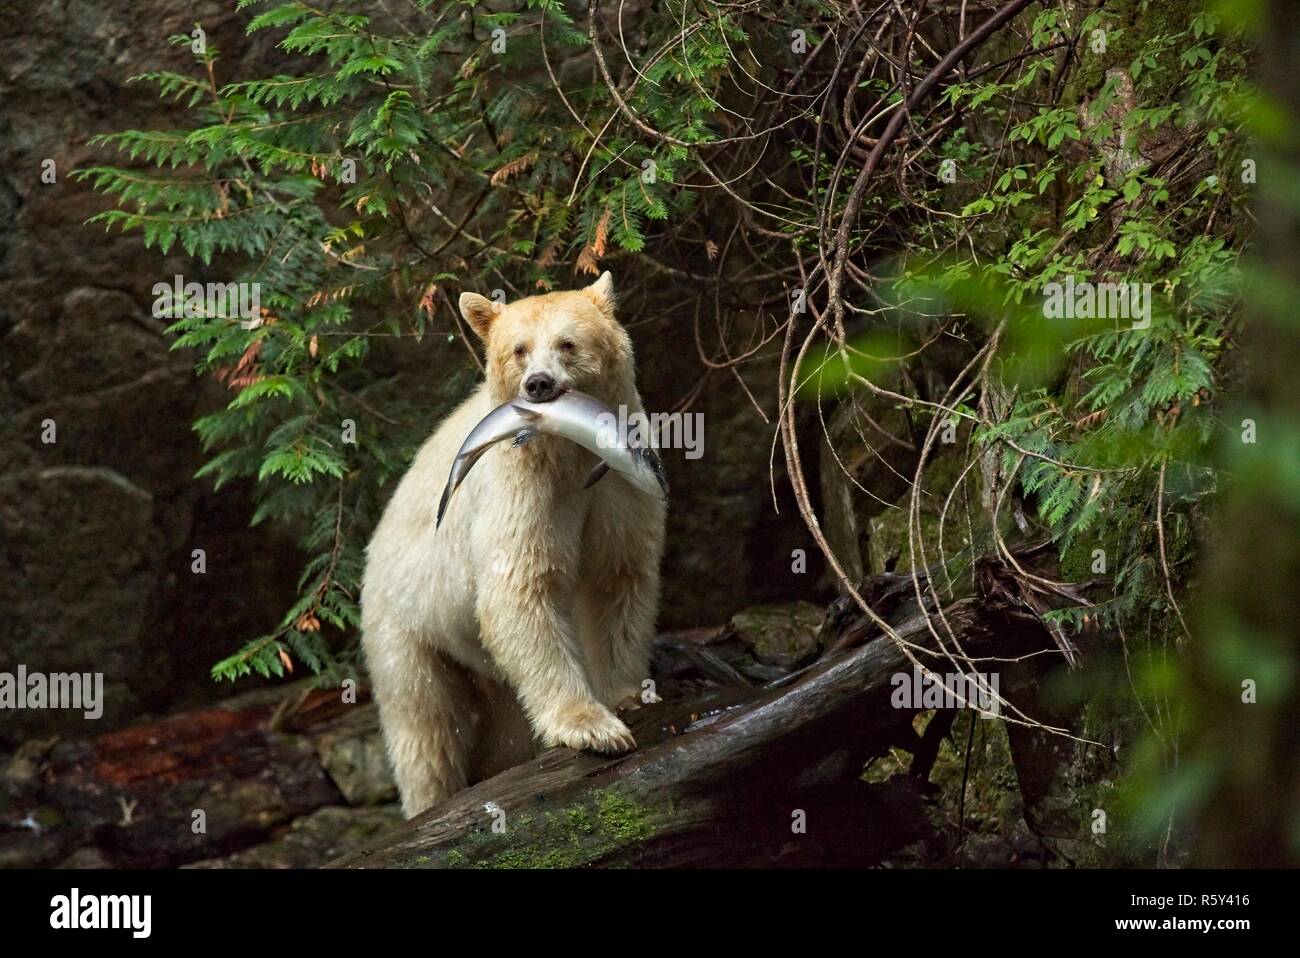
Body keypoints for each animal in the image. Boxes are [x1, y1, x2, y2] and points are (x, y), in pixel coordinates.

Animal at [361, 270, 665, 816]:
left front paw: (626, 694)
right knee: (425, 729)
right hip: (404, 629)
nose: (538, 383)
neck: (567, 448)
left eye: (567, 343)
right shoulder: (517, 482)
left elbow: (617, 574)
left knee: (501, 726)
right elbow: (520, 588)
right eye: (519, 349)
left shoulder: (620, 481)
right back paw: (431, 799)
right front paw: (592, 727)